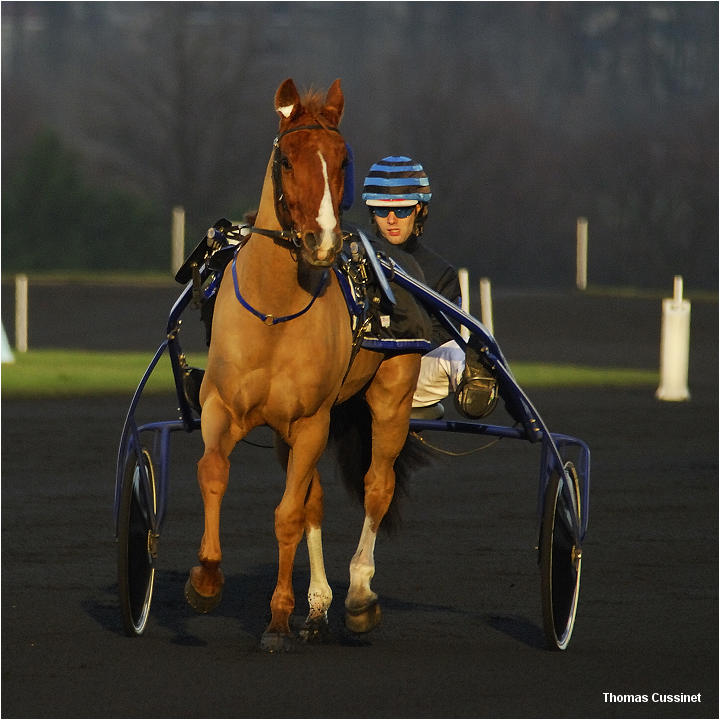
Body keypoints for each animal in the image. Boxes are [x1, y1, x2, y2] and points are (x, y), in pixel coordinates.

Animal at [184, 79, 422, 652]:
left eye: (341, 160)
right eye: (287, 159)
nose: (323, 243)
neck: (275, 312)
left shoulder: (312, 420)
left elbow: (288, 514)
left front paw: (277, 619)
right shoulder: (223, 407)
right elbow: (214, 472)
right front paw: (206, 579)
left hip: (391, 397)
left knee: (376, 486)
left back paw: (356, 596)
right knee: (314, 495)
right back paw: (317, 607)